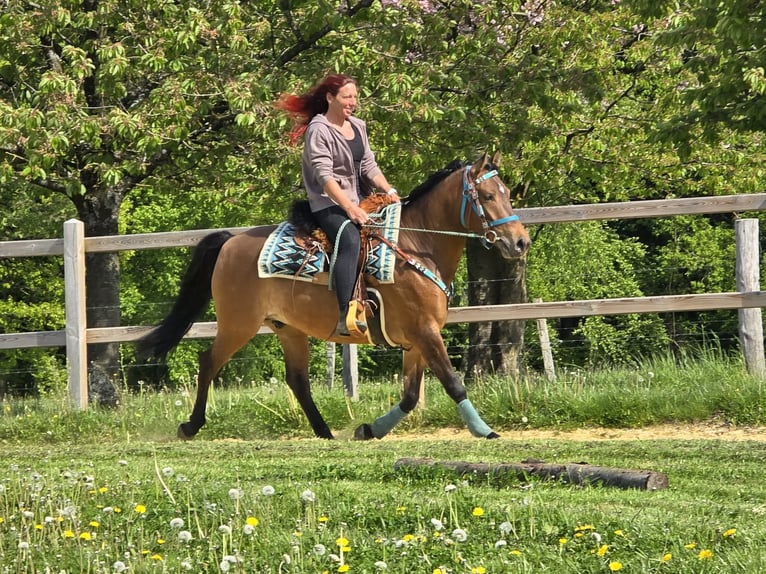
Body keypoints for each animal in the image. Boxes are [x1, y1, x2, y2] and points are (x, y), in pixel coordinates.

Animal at [138, 152, 530, 440]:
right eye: (488, 196)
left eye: (508, 193)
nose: (521, 242)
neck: (415, 246)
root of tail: (230, 242)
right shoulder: (424, 332)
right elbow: (453, 383)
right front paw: (485, 430)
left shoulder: (416, 338)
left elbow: (410, 396)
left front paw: (369, 429)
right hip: (238, 325)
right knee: (208, 362)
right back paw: (191, 425)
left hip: (288, 329)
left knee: (297, 380)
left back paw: (324, 431)